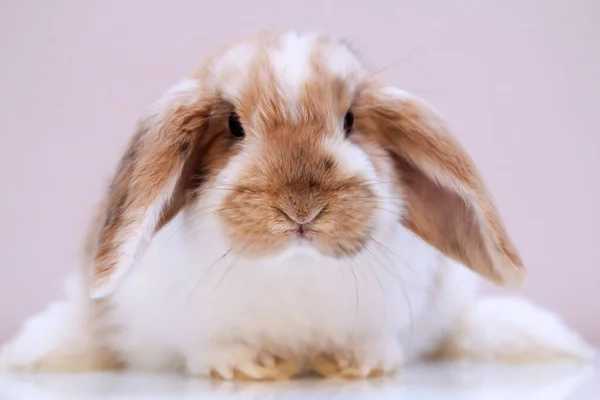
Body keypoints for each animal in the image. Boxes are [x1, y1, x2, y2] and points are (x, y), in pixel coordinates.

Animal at [0, 31, 592, 378]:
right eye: (233, 126)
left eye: (350, 121)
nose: (300, 207)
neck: (297, 267)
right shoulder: (186, 322)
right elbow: (206, 348)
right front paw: (247, 366)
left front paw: (360, 364)